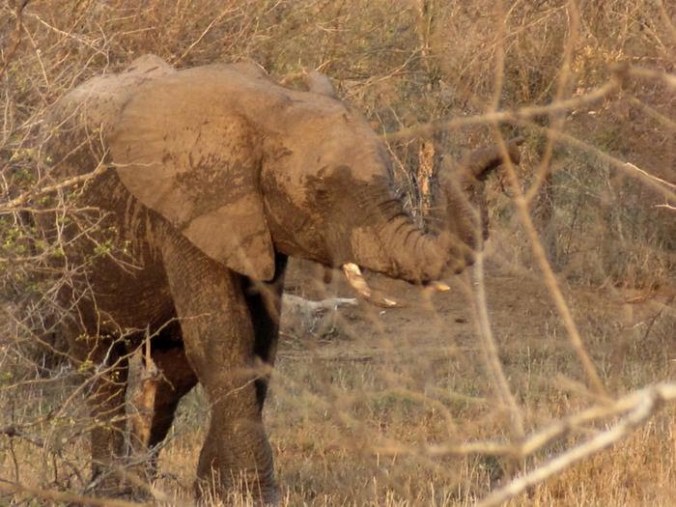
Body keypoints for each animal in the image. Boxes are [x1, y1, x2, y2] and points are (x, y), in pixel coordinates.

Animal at [39, 54, 522, 503]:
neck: (269, 108)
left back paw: (141, 485)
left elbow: (260, 339)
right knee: (100, 364)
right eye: (321, 191)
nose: (512, 147)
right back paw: (109, 490)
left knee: (172, 372)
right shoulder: (187, 208)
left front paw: (219, 494)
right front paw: (253, 495)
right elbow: (224, 338)